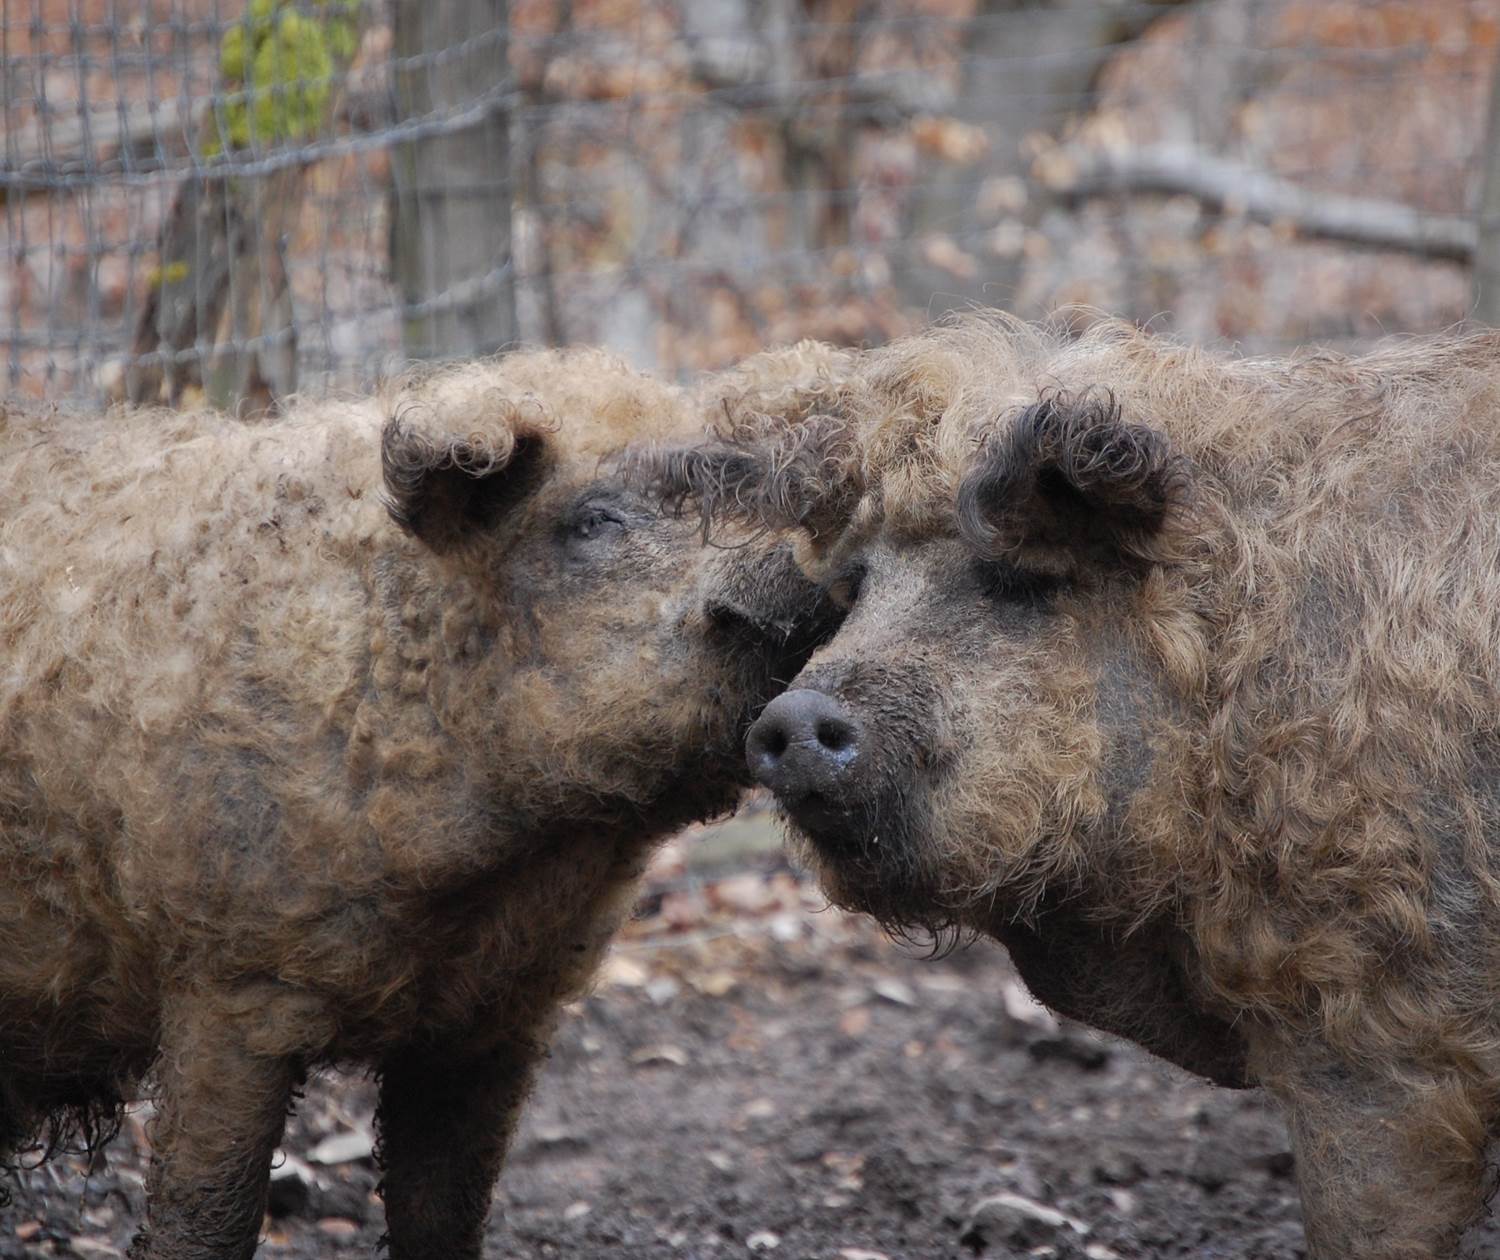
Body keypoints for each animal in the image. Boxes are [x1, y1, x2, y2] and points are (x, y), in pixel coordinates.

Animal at [0, 346, 839, 1260]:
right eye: (594, 521)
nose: (807, 584)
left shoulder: (496, 1017)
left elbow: (446, 1211)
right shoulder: (228, 976)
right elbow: (209, 1215)